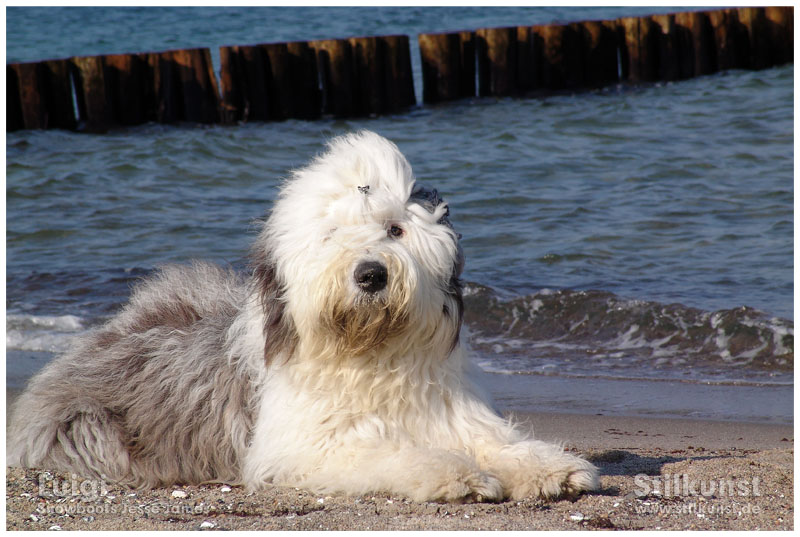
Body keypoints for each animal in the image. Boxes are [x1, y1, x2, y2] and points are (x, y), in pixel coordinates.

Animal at [4, 132, 592, 500]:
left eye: (396, 229)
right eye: (331, 235)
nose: (371, 275)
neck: (370, 356)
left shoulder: (452, 414)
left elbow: (496, 443)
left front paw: (551, 467)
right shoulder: (306, 446)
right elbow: (388, 454)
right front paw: (456, 475)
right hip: (90, 430)